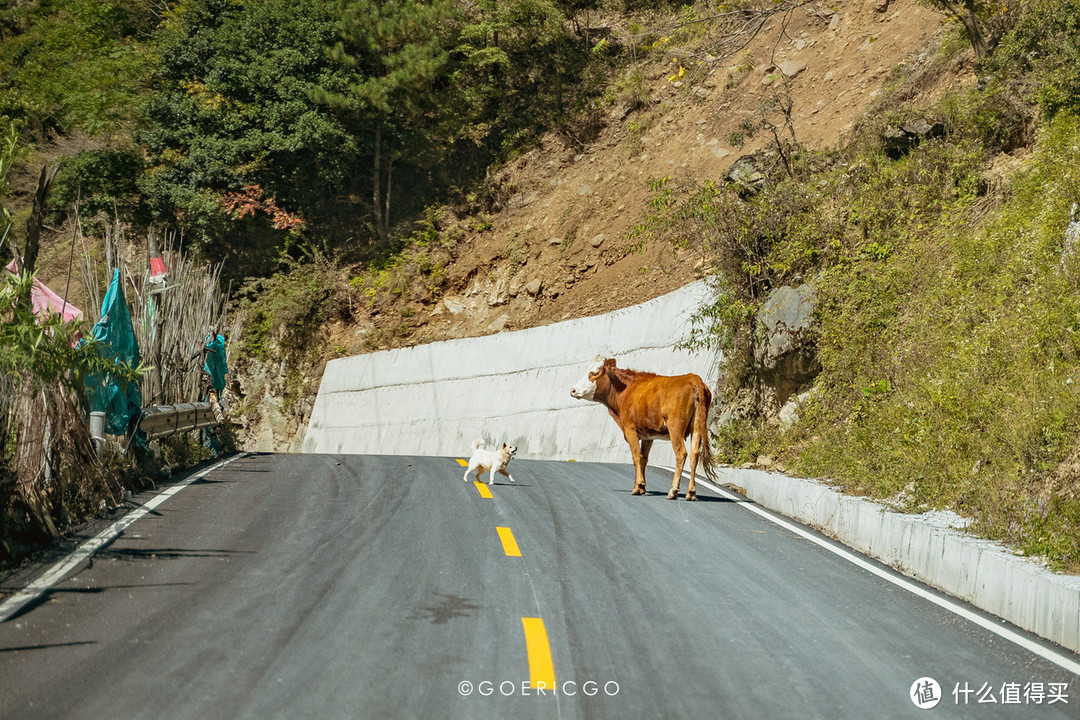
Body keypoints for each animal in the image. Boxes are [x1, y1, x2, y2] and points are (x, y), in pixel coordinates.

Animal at [565, 356, 717, 500]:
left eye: (595, 373)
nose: (573, 390)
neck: (626, 390)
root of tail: (693, 378)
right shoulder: (648, 435)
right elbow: (644, 458)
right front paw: (641, 486)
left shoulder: (630, 429)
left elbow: (636, 456)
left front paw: (637, 487)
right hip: (697, 427)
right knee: (694, 455)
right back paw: (691, 493)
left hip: (675, 426)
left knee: (681, 453)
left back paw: (673, 490)